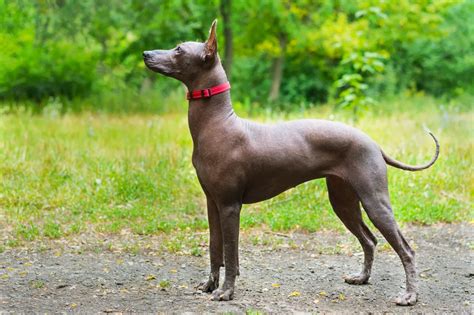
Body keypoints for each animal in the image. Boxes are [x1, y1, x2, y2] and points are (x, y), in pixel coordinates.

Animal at [143, 21, 438, 308]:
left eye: (179, 49)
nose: (146, 53)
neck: (218, 124)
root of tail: (374, 143)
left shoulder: (229, 206)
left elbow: (231, 254)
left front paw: (226, 292)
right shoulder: (212, 203)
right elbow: (215, 249)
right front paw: (209, 285)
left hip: (374, 201)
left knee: (406, 249)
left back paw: (410, 296)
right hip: (343, 201)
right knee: (370, 239)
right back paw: (362, 278)